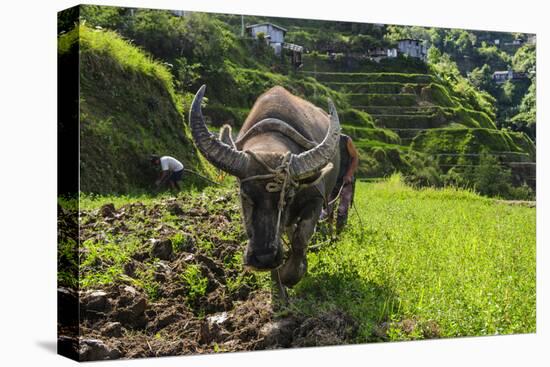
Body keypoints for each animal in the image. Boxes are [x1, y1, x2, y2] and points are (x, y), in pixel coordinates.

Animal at [192, 85, 342, 300]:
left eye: (288, 196)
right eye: (244, 194)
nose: (264, 258)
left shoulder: (315, 199)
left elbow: (301, 238)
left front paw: (291, 274)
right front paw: (278, 288)